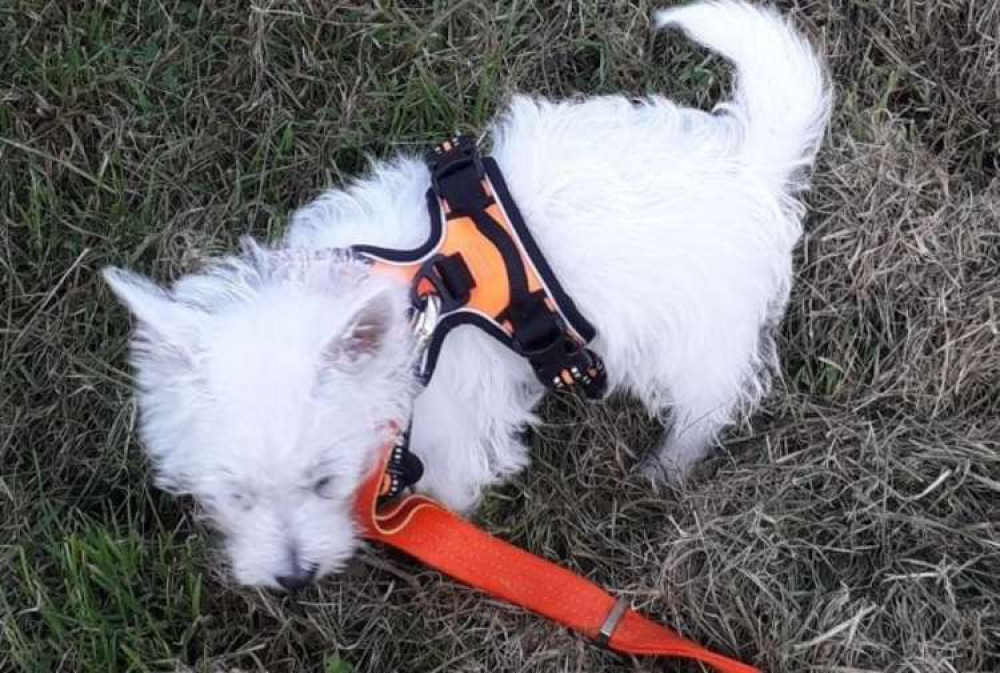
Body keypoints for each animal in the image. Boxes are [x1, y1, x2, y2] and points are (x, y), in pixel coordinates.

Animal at [105, 0, 832, 588]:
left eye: (325, 480)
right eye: (235, 494)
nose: (293, 578)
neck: (415, 305)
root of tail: (744, 161)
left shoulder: (454, 422)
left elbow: (449, 487)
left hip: (697, 331)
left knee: (711, 399)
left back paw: (667, 463)